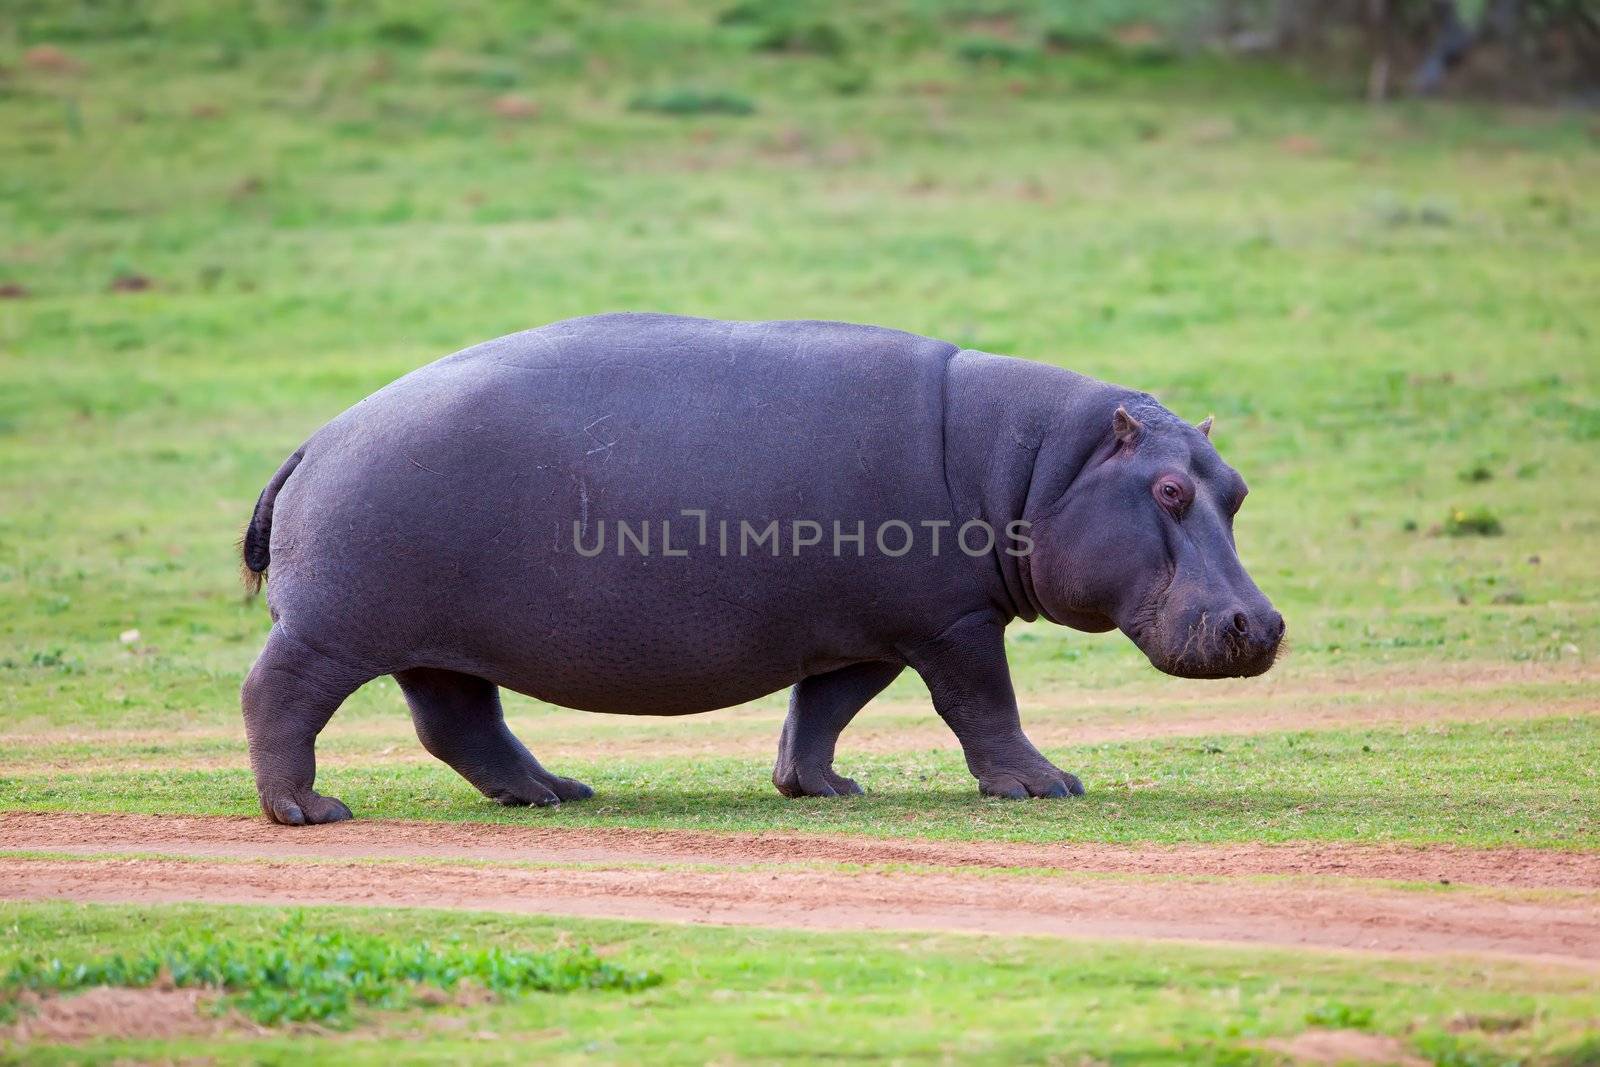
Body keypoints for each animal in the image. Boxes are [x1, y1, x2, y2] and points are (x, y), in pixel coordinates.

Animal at [240, 310, 1286, 825]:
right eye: (1167, 492)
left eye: (1235, 487)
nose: (1264, 624)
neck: (1038, 464)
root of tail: (315, 438)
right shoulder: (951, 625)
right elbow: (984, 704)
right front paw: (1046, 786)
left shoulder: (870, 631)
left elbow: (822, 708)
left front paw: (822, 788)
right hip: (334, 628)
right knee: (279, 694)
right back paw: (309, 811)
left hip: (435, 640)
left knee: (458, 721)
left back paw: (554, 792)